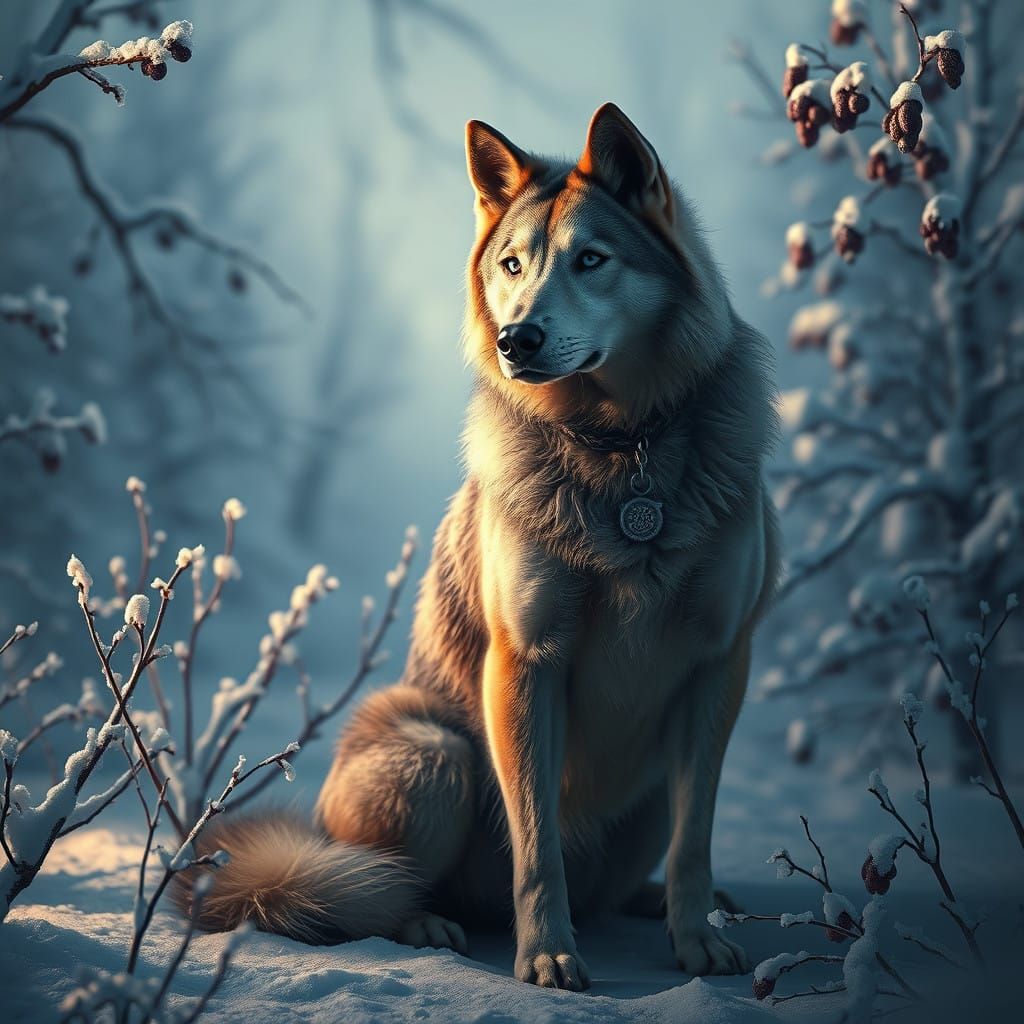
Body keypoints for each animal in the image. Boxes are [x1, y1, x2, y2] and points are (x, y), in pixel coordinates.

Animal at [178, 103, 780, 990]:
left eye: (591, 260)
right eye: (512, 264)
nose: (516, 339)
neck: (621, 448)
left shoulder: (719, 663)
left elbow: (695, 839)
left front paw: (699, 940)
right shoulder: (524, 663)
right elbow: (537, 846)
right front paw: (549, 956)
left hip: (637, 790)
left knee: (630, 865)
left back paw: (644, 904)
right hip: (439, 757)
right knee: (374, 889)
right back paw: (427, 922)